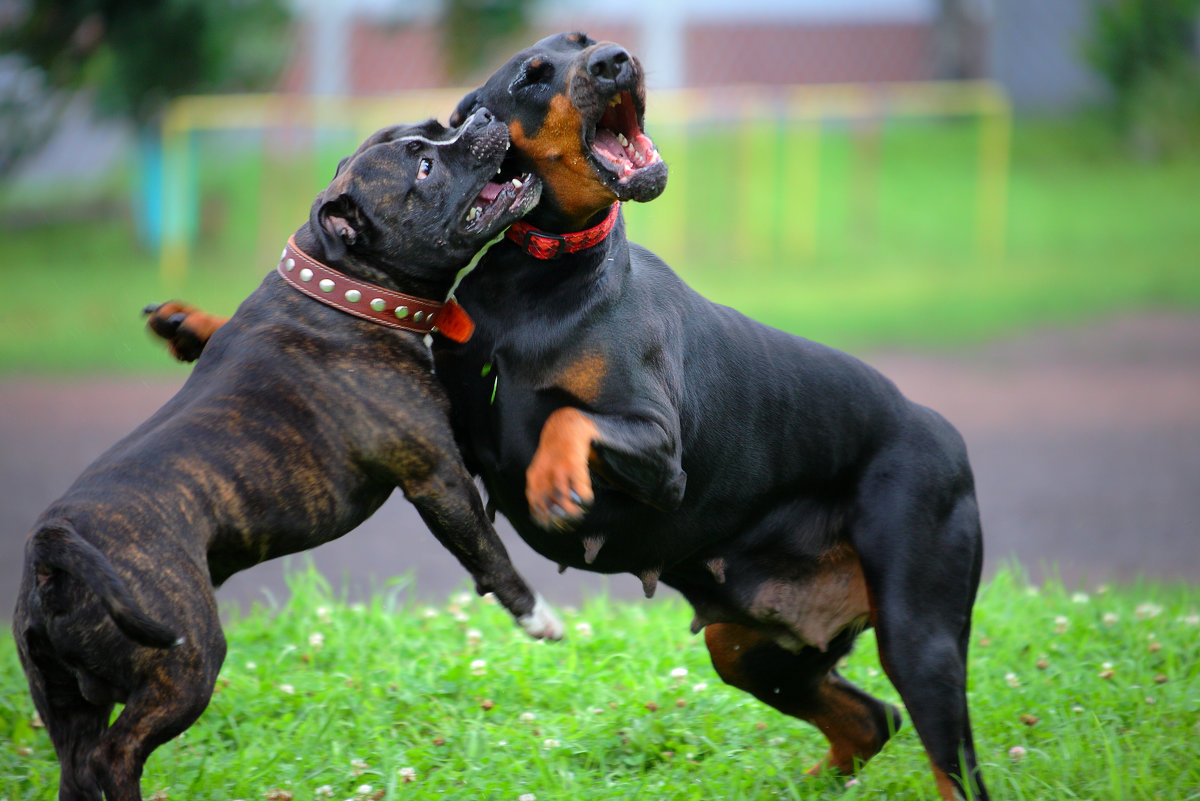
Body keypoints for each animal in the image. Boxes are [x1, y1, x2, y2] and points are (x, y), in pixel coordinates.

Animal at [14, 107, 559, 801]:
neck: (345, 290)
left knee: (79, 765)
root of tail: (51, 550)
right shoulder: (439, 477)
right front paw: (538, 616)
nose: (483, 115)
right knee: (115, 755)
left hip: (67, 699)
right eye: (424, 165)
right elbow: (489, 552)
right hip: (185, 664)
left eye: (434, 130)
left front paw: (182, 324)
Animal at [147, 34, 993, 801]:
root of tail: (944, 432)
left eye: (585, 42)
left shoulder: (659, 449)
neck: (535, 281)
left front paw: (556, 481)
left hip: (918, 632)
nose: (616, 59)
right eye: (532, 72)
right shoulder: (456, 433)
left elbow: (570, 423)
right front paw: (194, 322)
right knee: (870, 718)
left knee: (948, 760)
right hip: (750, 643)